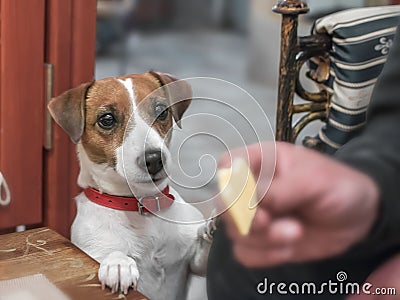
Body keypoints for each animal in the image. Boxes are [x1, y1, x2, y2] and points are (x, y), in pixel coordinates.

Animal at [48, 71, 214, 298]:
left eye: (162, 112)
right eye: (107, 119)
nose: (154, 159)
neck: (142, 205)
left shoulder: (194, 262)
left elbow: (204, 254)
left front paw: (214, 226)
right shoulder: (91, 249)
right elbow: (112, 252)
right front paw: (118, 264)